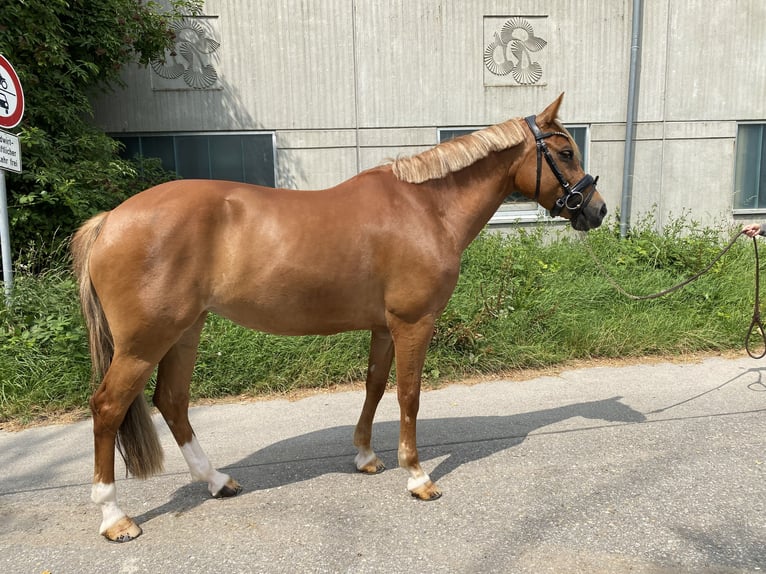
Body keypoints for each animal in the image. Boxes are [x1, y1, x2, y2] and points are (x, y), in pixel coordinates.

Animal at [75, 95, 608, 544]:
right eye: (564, 151)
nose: (597, 211)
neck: (426, 208)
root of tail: (110, 220)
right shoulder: (414, 323)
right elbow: (409, 394)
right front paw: (418, 476)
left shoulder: (384, 326)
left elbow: (374, 385)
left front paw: (367, 457)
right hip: (145, 342)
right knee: (108, 408)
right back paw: (114, 517)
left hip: (185, 331)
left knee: (173, 401)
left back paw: (216, 480)